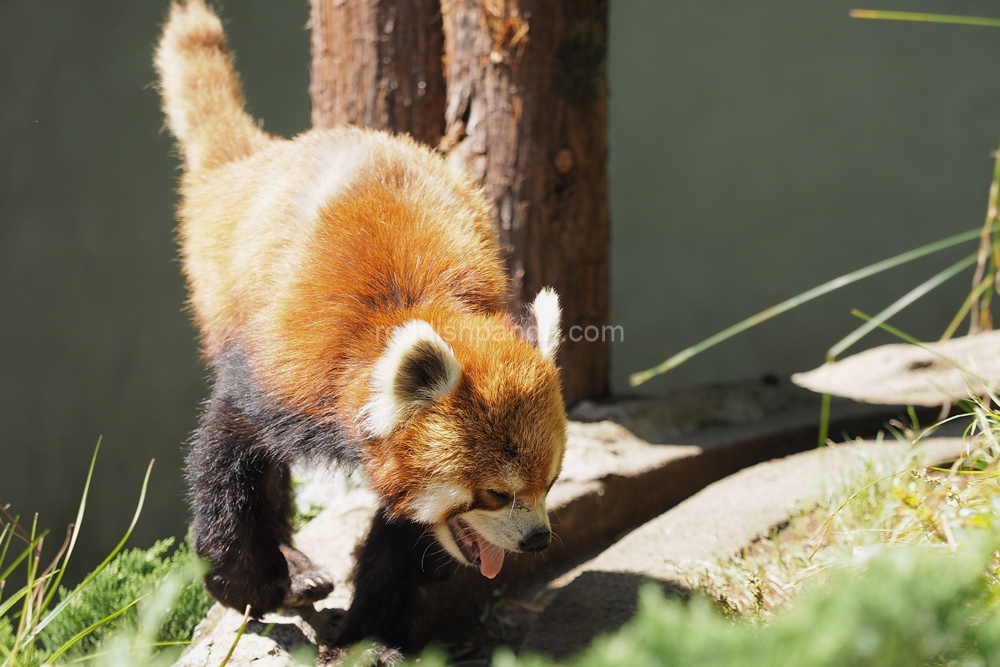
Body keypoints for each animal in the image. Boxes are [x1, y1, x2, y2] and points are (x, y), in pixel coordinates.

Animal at [153, 0, 568, 652]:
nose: (537, 540)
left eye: (550, 483)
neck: (411, 311)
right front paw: (245, 583)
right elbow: (228, 454)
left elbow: (406, 532)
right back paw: (295, 570)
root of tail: (261, 158)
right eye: (497, 493)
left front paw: (371, 635)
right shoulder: (284, 366)